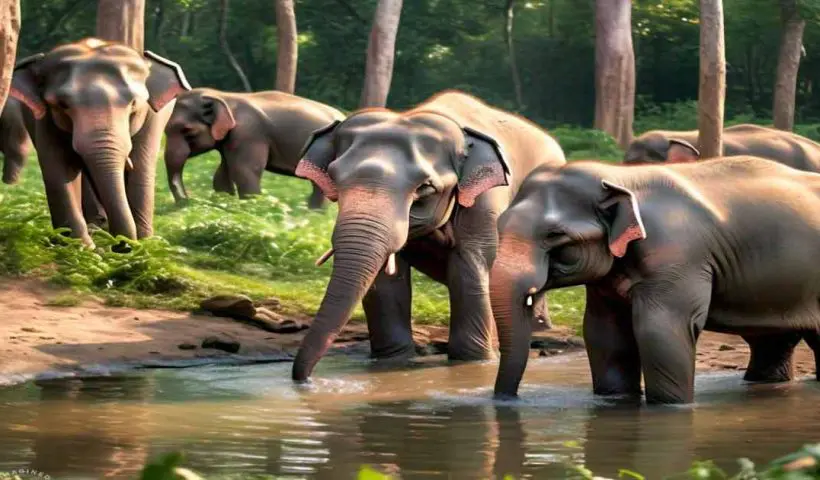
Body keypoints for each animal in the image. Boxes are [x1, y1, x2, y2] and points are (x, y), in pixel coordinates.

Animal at [10, 38, 190, 246]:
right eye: (62, 105)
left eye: (134, 103)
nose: (122, 246)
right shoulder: (44, 120)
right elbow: (59, 169)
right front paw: (80, 248)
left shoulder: (153, 119)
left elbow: (141, 166)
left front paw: (144, 245)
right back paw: (97, 227)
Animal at [163, 87, 346, 208]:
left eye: (187, 131)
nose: (187, 203)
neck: (223, 96)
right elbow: (221, 174)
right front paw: (225, 204)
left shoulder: (249, 133)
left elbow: (244, 171)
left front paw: (253, 209)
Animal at [290, 89, 567, 382]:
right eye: (334, 177)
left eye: (424, 188)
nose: (305, 379)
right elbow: (387, 278)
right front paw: (393, 361)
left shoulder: (486, 202)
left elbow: (470, 266)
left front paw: (473, 363)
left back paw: (538, 330)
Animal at [489, 155, 820, 404]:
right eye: (499, 225)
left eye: (554, 235)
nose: (507, 400)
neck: (619, 177)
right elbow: (604, 333)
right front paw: (616, 399)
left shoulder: (676, 256)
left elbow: (660, 331)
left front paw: (670, 407)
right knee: (773, 340)